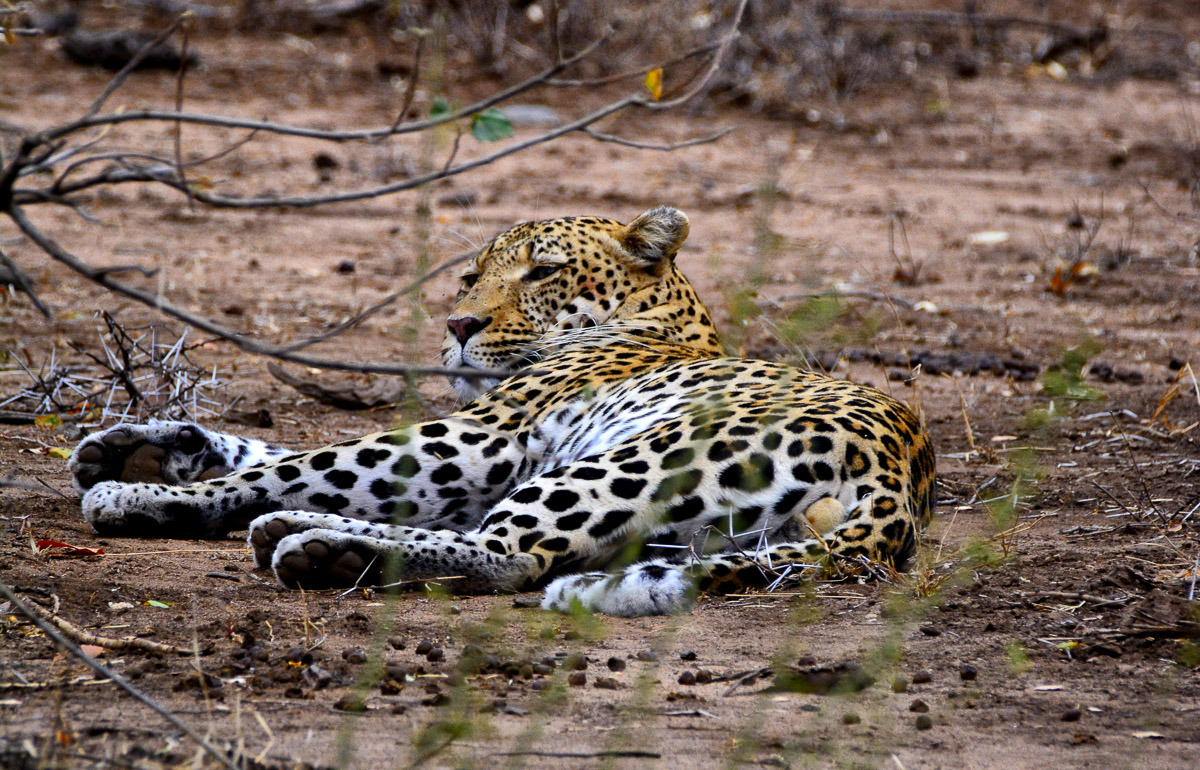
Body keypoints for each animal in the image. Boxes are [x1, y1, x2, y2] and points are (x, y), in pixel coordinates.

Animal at [70, 206, 936, 616]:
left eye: (542, 272)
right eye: (469, 276)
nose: (457, 325)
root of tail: (902, 486)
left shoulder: (485, 436)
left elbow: (307, 461)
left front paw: (137, 492)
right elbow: (270, 455)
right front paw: (135, 448)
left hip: (624, 460)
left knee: (512, 553)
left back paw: (320, 547)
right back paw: (305, 534)